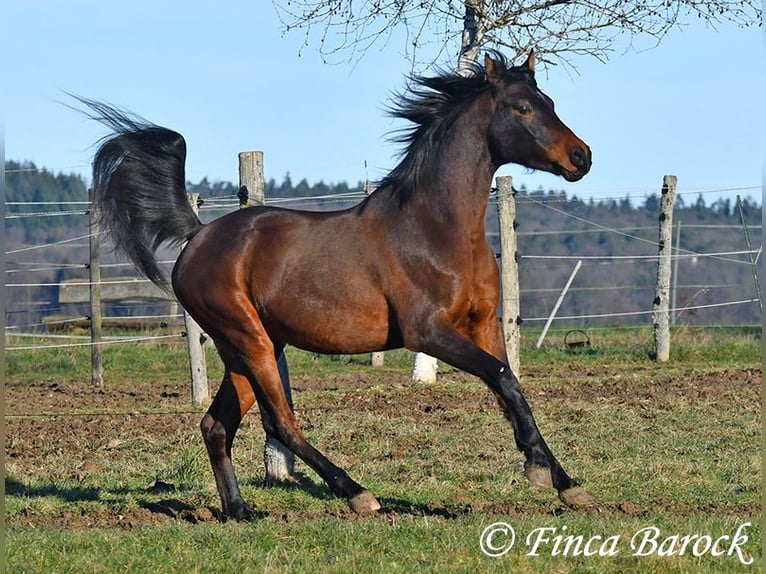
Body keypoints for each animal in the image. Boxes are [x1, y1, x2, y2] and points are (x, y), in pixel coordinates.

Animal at [78, 53, 592, 520]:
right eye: (521, 108)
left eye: (549, 101)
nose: (581, 157)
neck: (438, 229)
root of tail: (198, 235)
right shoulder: (427, 333)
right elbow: (503, 379)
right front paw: (542, 471)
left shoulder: (484, 325)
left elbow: (512, 387)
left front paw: (562, 481)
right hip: (249, 340)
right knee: (280, 422)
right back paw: (358, 493)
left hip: (249, 346)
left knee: (216, 425)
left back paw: (241, 511)